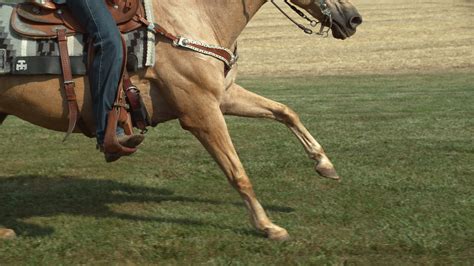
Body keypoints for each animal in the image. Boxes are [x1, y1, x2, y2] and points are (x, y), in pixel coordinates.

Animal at [0, 0, 362, 240]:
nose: (354, 18)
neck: (194, 15)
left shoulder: (223, 97)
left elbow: (285, 111)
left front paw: (325, 165)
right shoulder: (200, 111)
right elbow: (238, 173)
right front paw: (268, 226)